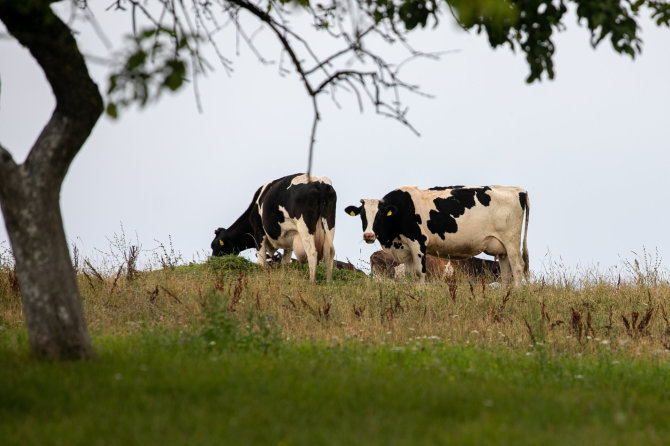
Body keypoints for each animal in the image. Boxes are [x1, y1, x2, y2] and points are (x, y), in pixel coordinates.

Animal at [346, 186, 532, 288]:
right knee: (506, 272)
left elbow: (420, 273)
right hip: (502, 248)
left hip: (511, 242)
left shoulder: (418, 243)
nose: (368, 235)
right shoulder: (407, 250)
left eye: (380, 214)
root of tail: (518, 190)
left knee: (517, 267)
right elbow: (410, 275)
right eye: (362, 215)